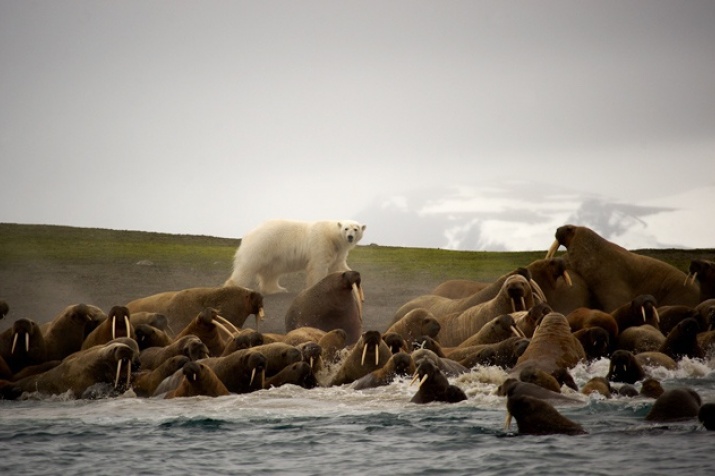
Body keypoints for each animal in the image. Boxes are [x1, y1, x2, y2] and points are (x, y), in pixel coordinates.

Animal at [224, 219, 366, 294]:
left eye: (356, 229)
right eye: (346, 228)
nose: (350, 237)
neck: (331, 235)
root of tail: (249, 233)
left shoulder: (338, 251)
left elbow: (339, 266)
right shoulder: (321, 244)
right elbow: (318, 267)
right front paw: (316, 287)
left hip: (273, 255)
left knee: (271, 273)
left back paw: (277, 289)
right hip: (262, 245)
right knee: (247, 267)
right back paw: (235, 287)